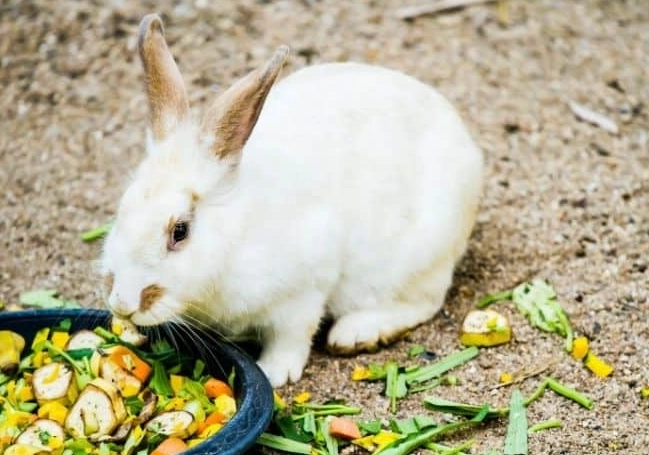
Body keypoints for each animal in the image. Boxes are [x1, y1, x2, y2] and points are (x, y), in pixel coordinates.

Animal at [100, 13, 484, 387]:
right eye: (121, 211)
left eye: (179, 231)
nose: (123, 303)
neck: (235, 233)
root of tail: (468, 150)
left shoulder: (303, 290)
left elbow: (292, 336)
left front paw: (274, 373)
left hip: (417, 260)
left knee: (424, 303)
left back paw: (356, 333)